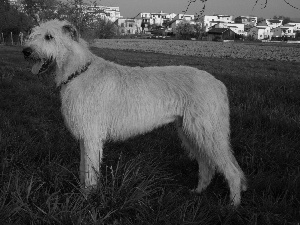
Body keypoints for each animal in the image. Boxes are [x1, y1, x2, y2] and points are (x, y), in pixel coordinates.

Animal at [21, 19, 246, 206]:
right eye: (33, 33)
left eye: (49, 36)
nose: (26, 51)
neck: (78, 72)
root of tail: (219, 84)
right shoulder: (86, 138)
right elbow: (84, 169)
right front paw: (83, 194)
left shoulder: (92, 136)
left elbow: (90, 174)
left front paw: (86, 200)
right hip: (191, 131)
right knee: (207, 165)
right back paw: (198, 191)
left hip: (207, 131)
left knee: (232, 170)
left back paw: (233, 206)